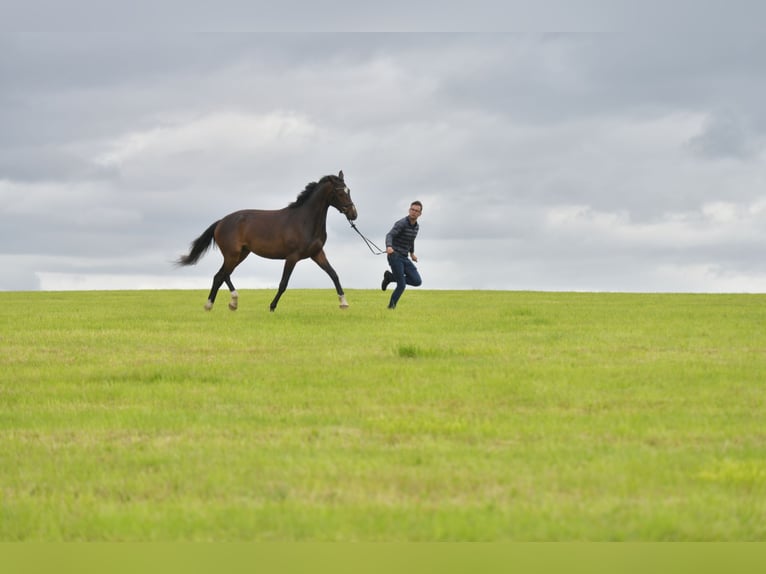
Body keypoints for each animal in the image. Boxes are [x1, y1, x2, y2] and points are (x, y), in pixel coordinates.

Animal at [178, 171, 358, 316]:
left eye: (348, 190)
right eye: (339, 192)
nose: (353, 214)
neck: (305, 221)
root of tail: (221, 222)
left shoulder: (317, 253)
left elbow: (334, 274)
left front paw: (344, 303)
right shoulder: (292, 257)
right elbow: (283, 283)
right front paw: (272, 307)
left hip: (241, 254)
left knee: (224, 275)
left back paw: (233, 303)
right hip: (232, 254)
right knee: (219, 276)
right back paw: (210, 305)